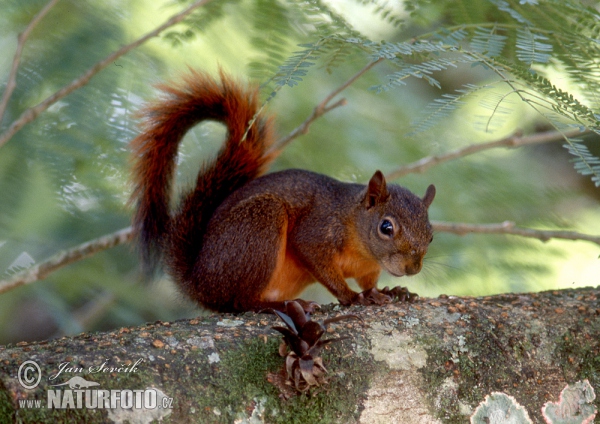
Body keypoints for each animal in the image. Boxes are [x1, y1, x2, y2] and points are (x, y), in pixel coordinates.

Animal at [130, 69, 436, 314]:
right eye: (386, 227)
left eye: (431, 236)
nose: (413, 269)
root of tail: (198, 282)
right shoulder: (317, 231)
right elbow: (317, 259)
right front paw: (352, 296)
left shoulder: (369, 267)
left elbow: (370, 282)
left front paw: (387, 291)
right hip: (259, 226)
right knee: (240, 302)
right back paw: (280, 305)